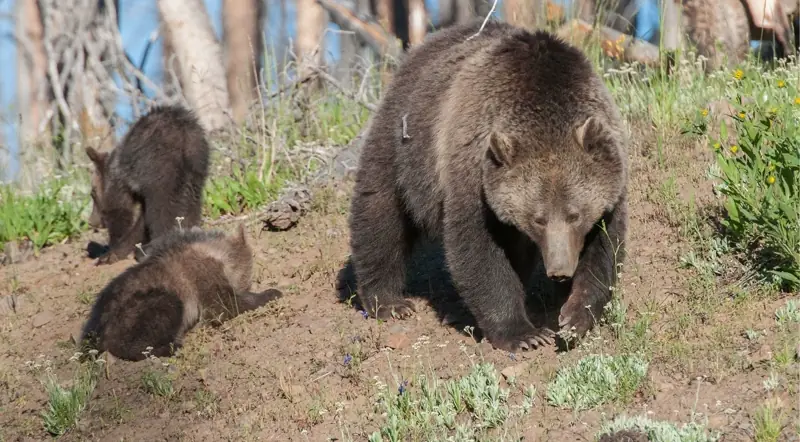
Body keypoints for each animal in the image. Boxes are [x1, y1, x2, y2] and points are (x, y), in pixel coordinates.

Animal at [85, 104, 210, 265]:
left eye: (93, 193)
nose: (91, 221)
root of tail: (184, 135)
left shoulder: (121, 182)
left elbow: (121, 213)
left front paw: (111, 252)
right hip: (196, 167)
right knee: (191, 201)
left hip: (158, 166)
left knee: (161, 206)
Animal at [347, 19, 629, 353]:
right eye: (539, 218)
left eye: (574, 214)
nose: (559, 271)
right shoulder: (473, 170)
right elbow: (477, 248)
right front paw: (524, 334)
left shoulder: (610, 184)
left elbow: (605, 247)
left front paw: (574, 318)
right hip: (404, 140)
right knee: (379, 211)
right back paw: (388, 302)